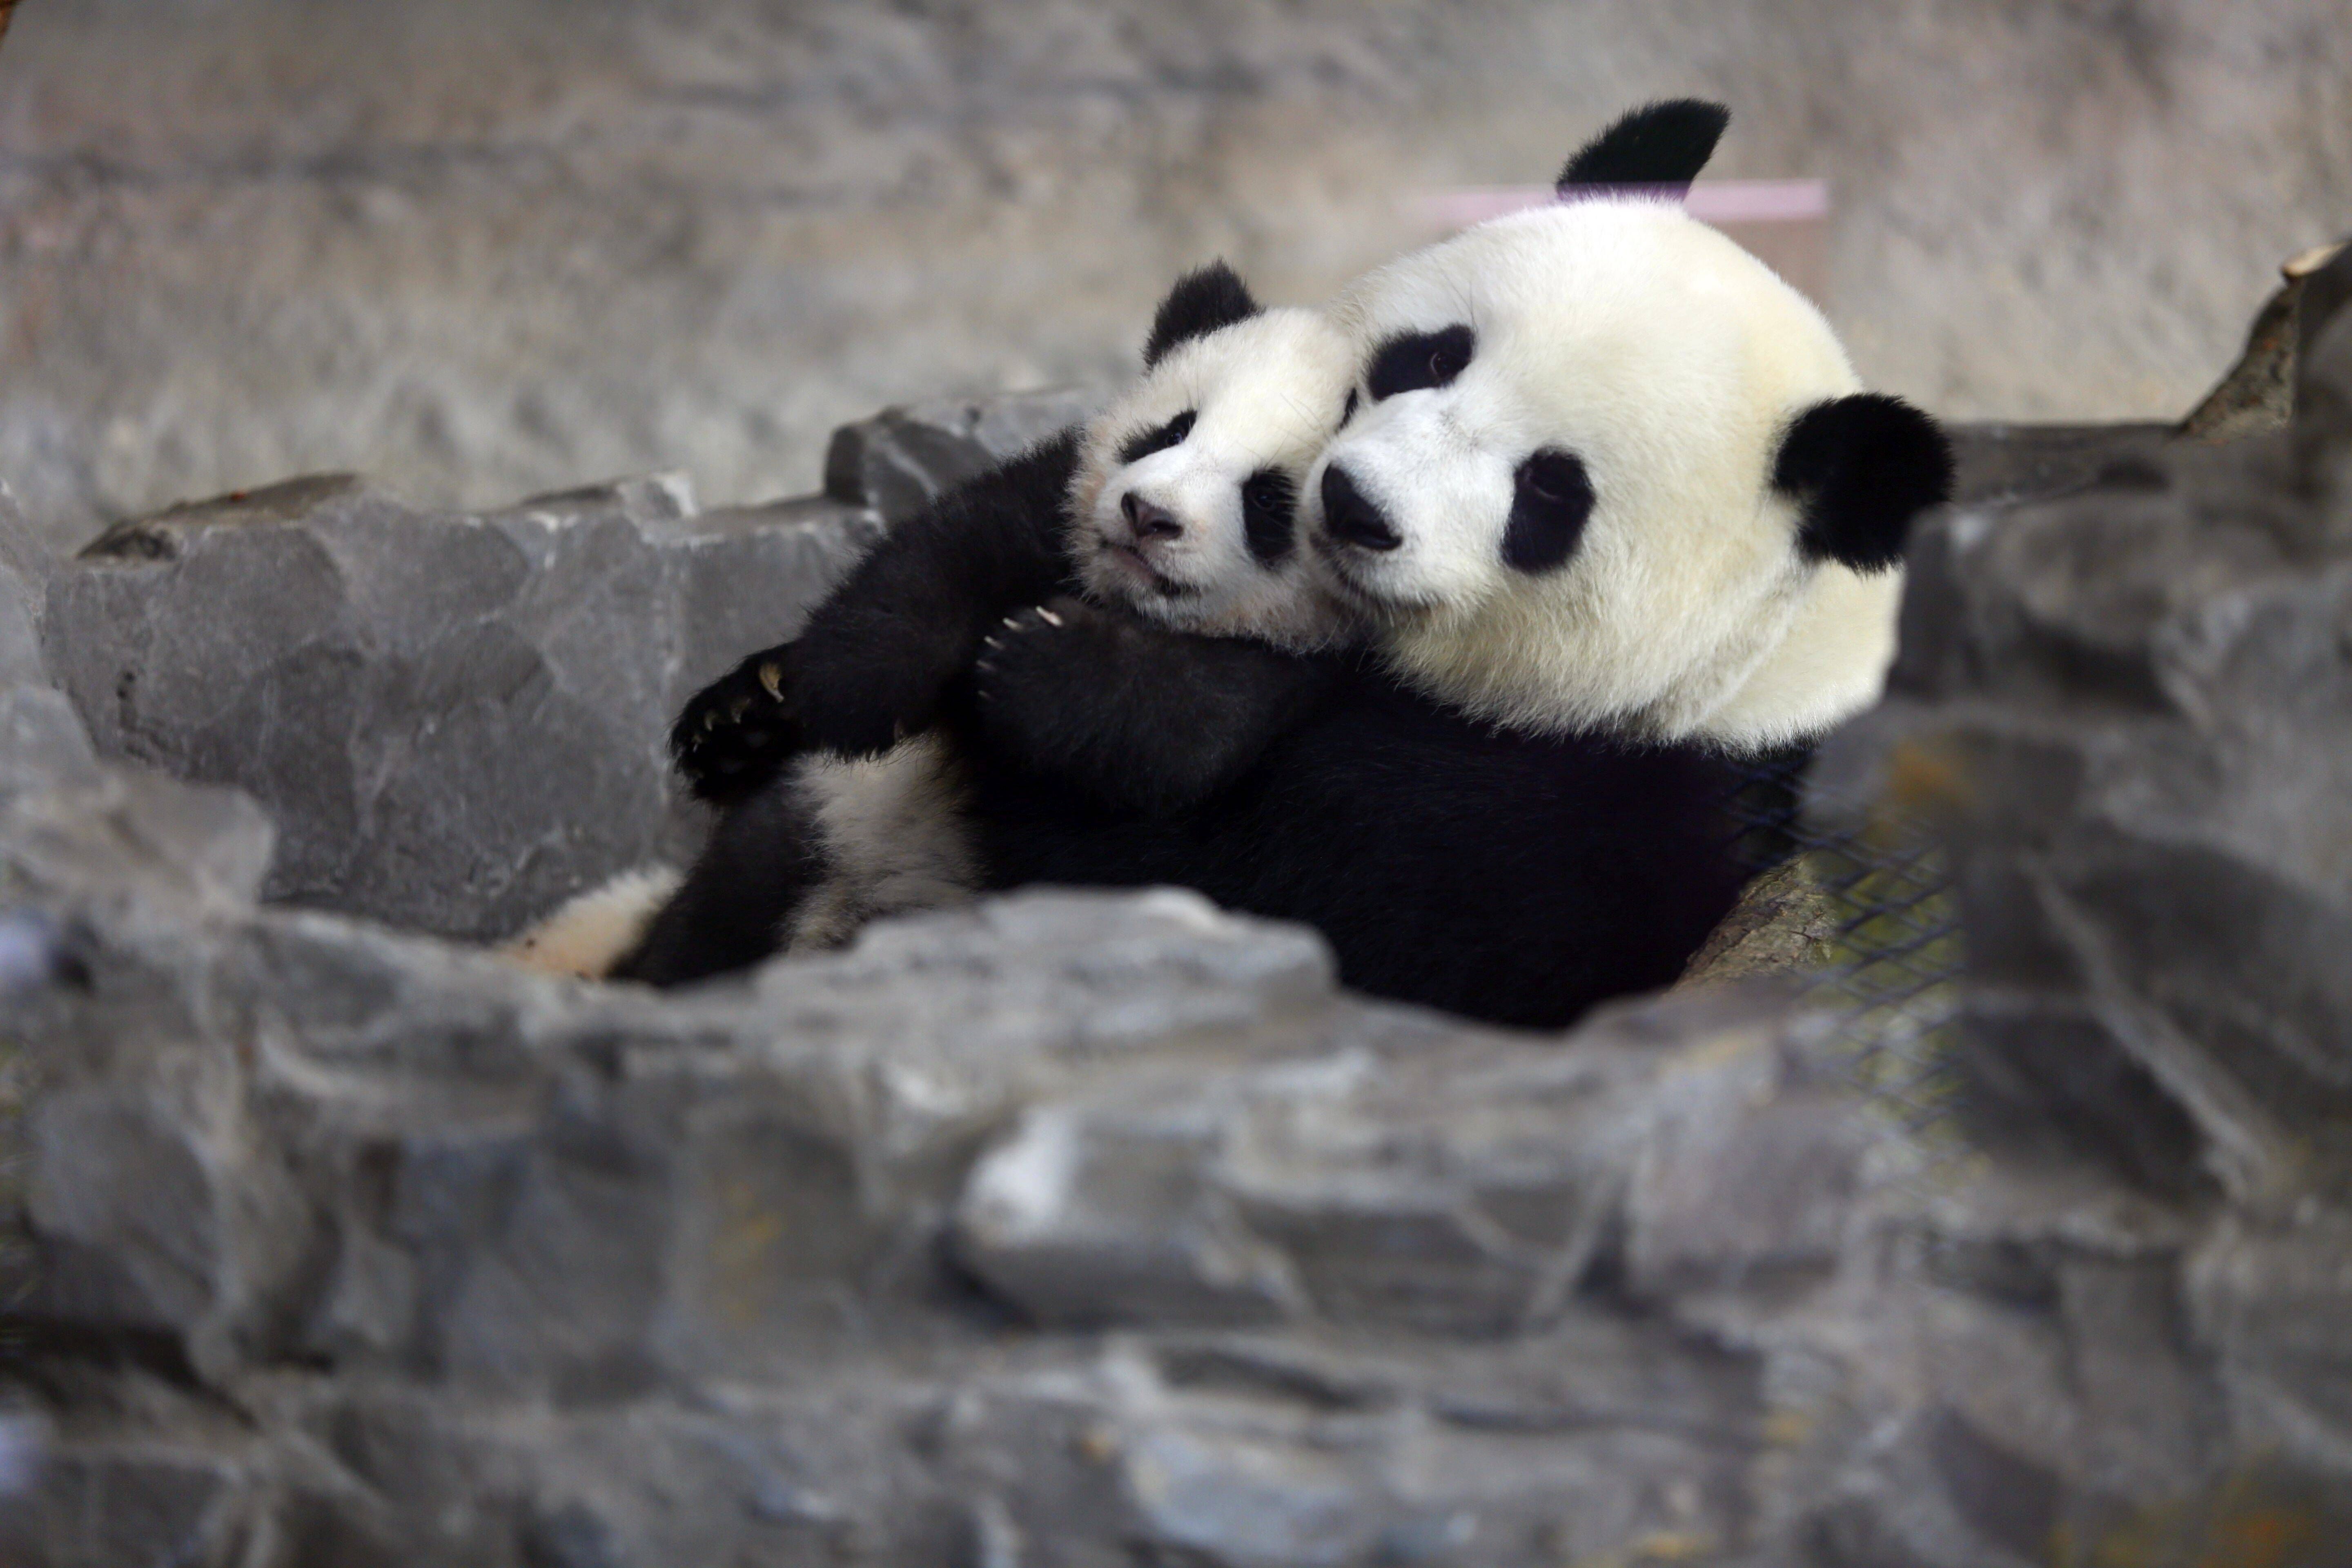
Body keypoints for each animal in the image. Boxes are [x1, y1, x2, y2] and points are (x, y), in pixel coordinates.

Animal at [566, 265, 1362, 985]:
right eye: (1169, 431)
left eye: (1267, 500)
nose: (1147, 515)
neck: (1121, 601)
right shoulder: (1052, 504)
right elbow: (953, 548)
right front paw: (845, 686)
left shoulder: (1312, 681)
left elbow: (1195, 722)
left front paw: (1043, 662)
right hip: (826, 823)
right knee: (733, 896)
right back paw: (735, 733)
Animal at [939, 99, 1955, 1028]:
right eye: (1435, 356)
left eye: (1550, 492)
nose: (1355, 505)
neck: (1751, 679)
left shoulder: (1600, 825)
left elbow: (1225, 888)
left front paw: (1073, 678)